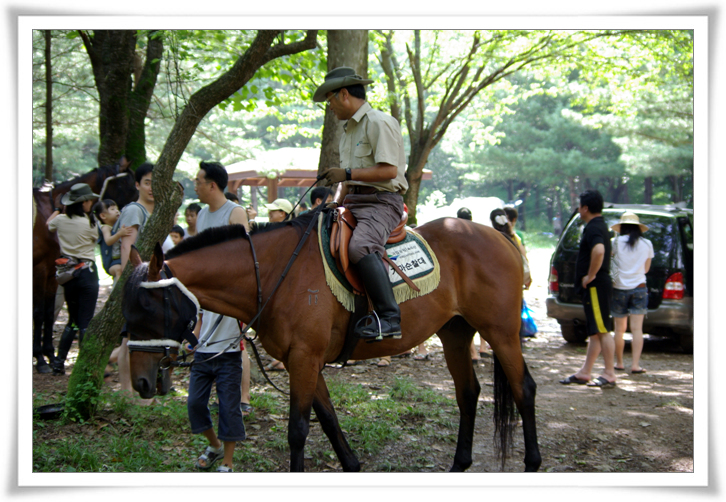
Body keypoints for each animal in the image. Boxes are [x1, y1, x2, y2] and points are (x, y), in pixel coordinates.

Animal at [32, 162, 139, 372]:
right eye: (131, 186)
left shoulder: (51, 272)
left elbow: (48, 313)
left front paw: (50, 355)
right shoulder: (39, 270)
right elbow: (38, 314)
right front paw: (40, 359)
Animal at [122, 214, 540, 472]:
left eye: (148, 308)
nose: (141, 382)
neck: (272, 272)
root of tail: (497, 236)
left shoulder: (305, 358)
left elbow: (298, 430)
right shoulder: (304, 360)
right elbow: (327, 418)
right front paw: (352, 465)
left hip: (501, 332)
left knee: (523, 389)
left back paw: (532, 462)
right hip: (455, 332)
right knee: (468, 392)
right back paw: (459, 464)